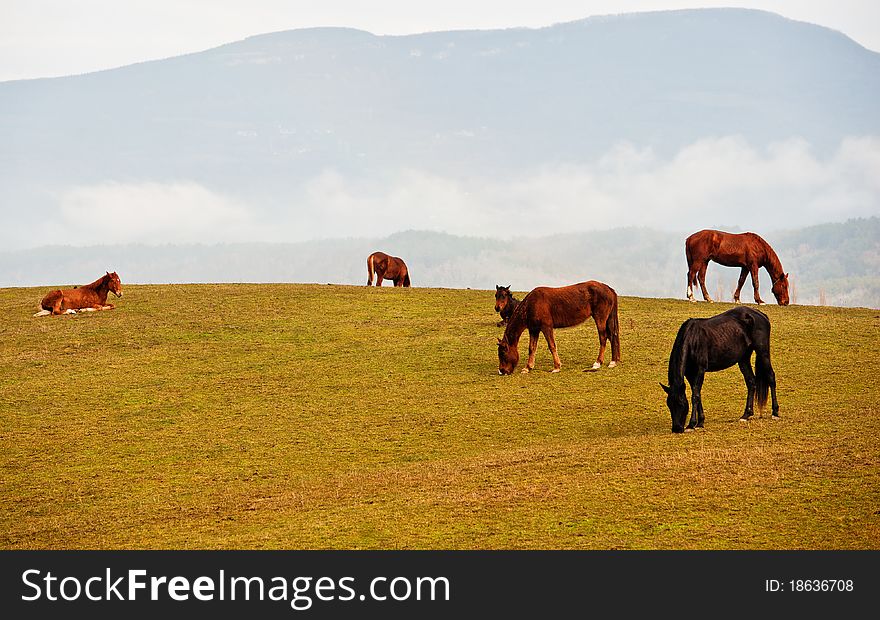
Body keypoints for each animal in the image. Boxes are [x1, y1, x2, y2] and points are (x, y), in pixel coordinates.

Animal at [660, 306, 776, 434]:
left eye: (681, 404)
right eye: (669, 404)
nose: (676, 429)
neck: (692, 339)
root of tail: (761, 314)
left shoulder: (700, 370)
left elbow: (695, 396)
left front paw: (691, 425)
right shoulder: (690, 374)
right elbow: (698, 394)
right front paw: (700, 422)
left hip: (763, 352)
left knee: (771, 377)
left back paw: (775, 413)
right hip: (743, 358)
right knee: (751, 382)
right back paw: (746, 415)